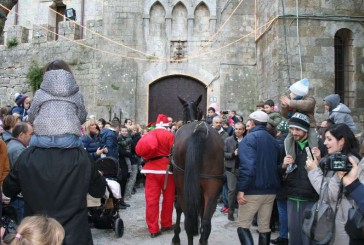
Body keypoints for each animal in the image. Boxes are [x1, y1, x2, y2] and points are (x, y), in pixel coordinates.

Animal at [171, 94, 225, 244]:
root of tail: (199, 131)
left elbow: (178, 208)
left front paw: (176, 236)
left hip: (182, 186)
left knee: (188, 220)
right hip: (213, 186)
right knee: (206, 223)